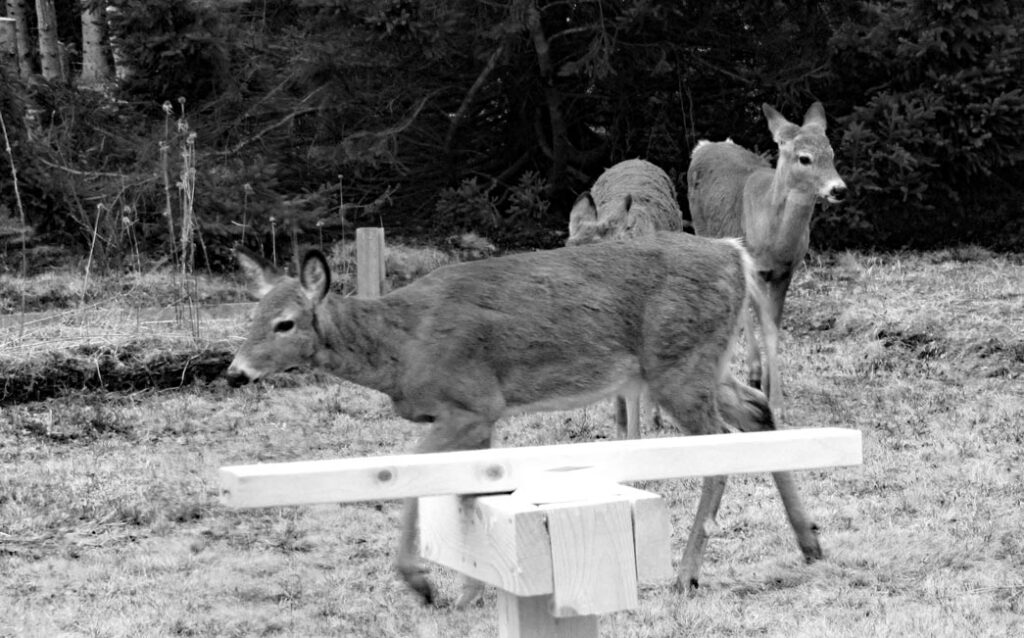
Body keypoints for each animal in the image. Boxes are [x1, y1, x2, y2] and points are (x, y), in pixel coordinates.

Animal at [228, 235, 819, 610]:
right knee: (758, 412)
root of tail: (734, 252)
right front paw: (471, 592)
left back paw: (686, 574)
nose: (235, 372)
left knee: (720, 448)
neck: (400, 348)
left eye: (286, 323)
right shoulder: (478, 418)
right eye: (251, 317)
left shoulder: (471, 402)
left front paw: (423, 584)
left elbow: (415, 472)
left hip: (679, 364)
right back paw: (809, 542)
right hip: (699, 366)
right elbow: (470, 494)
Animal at [688, 99, 847, 409]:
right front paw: (776, 402)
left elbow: (774, 324)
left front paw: (771, 386)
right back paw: (750, 372)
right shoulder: (759, 269)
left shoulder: (787, 271)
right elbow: (768, 327)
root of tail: (703, 146)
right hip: (703, 229)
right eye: (804, 158)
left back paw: (755, 373)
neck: (775, 240)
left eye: (832, 153)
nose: (839, 189)